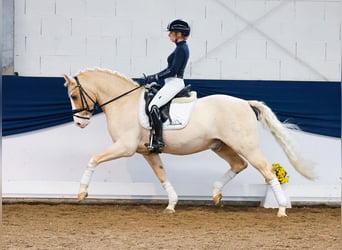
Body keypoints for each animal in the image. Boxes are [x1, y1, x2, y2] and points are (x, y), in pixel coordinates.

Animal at [64, 68, 316, 217]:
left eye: (75, 96)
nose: (79, 123)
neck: (124, 102)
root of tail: (245, 103)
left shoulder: (125, 148)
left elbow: (94, 159)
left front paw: (81, 193)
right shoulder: (148, 152)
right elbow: (162, 175)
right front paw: (171, 204)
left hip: (246, 146)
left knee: (267, 171)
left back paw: (281, 209)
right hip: (221, 145)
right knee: (239, 165)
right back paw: (215, 193)